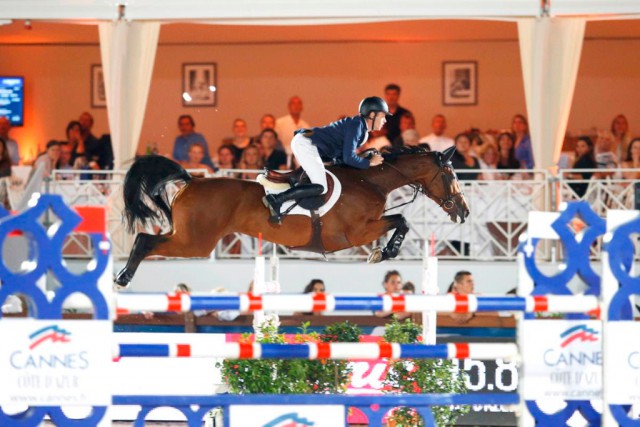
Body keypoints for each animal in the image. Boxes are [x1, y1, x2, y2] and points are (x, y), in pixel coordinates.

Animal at [115, 144, 468, 288]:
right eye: (451, 174)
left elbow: (400, 222)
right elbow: (401, 221)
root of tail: (191, 181)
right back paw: (123, 277)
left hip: (191, 239)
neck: (371, 180)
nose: (464, 211)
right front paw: (383, 252)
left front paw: (384, 251)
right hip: (196, 243)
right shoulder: (355, 233)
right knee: (145, 240)